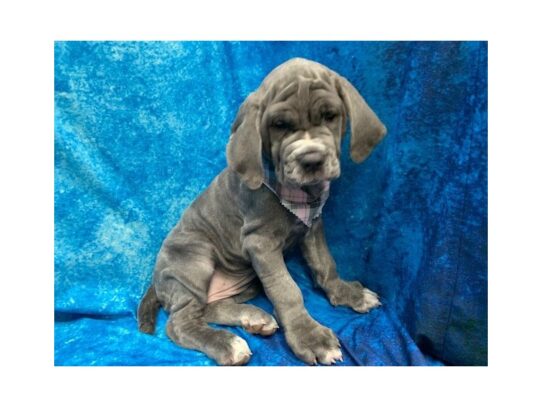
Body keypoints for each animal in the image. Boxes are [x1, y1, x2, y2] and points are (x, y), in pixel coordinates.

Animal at [138, 57, 388, 366]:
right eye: (279, 125)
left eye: (330, 115)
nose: (312, 160)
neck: (300, 194)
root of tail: (156, 279)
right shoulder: (261, 244)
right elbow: (287, 290)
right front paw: (310, 337)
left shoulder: (313, 227)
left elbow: (325, 264)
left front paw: (346, 293)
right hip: (194, 260)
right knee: (179, 323)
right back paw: (227, 343)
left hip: (245, 284)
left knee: (208, 308)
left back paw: (253, 318)